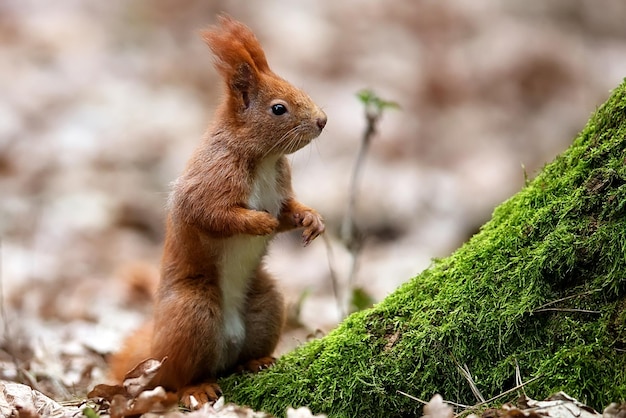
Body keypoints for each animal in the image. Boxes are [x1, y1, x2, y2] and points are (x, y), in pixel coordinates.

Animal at [109, 14, 326, 404]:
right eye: (278, 108)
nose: (323, 121)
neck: (263, 159)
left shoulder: (281, 185)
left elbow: (288, 210)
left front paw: (311, 218)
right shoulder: (211, 179)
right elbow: (211, 214)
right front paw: (258, 223)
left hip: (266, 303)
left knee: (244, 352)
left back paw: (257, 361)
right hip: (192, 312)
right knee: (178, 378)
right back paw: (197, 387)